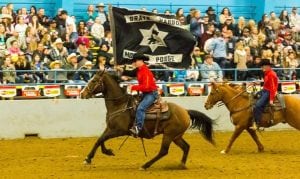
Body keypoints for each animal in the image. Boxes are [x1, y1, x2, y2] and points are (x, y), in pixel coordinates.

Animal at [79, 70, 216, 170]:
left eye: (94, 80)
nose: (82, 94)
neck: (120, 104)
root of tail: (186, 111)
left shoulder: (119, 130)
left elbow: (101, 139)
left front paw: (89, 158)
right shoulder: (110, 128)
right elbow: (99, 140)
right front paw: (106, 152)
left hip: (169, 135)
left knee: (163, 151)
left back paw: (145, 165)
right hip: (176, 136)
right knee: (186, 147)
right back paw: (181, 165)